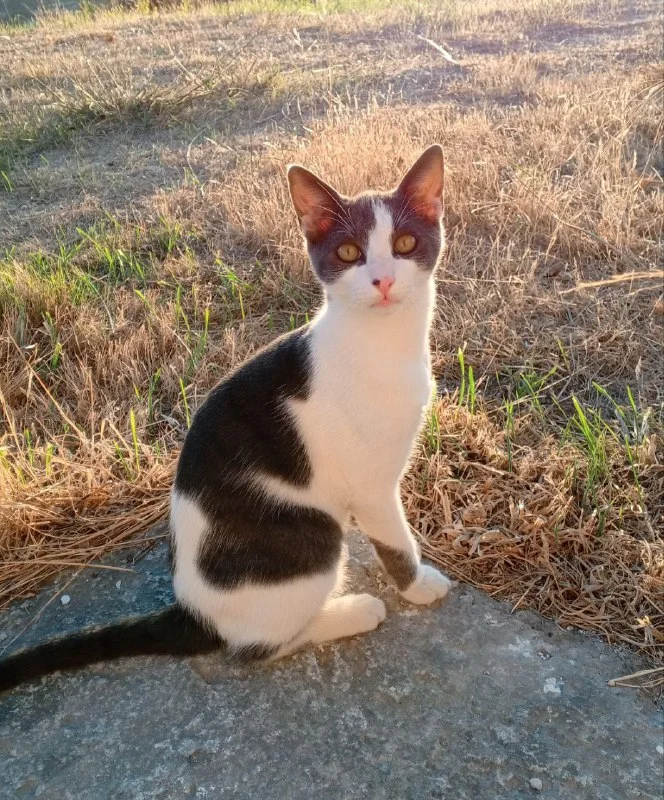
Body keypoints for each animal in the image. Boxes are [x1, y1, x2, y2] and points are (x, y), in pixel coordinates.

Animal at [0, 144, 451, 691]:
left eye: (405, 243)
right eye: (348, 253)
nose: (383, 280)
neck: (382, 344)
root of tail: (193, 611)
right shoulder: (371, 488)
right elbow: (395, 543)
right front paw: (418, 586)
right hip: (311, 535)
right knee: (257, 646)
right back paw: (352, 612)